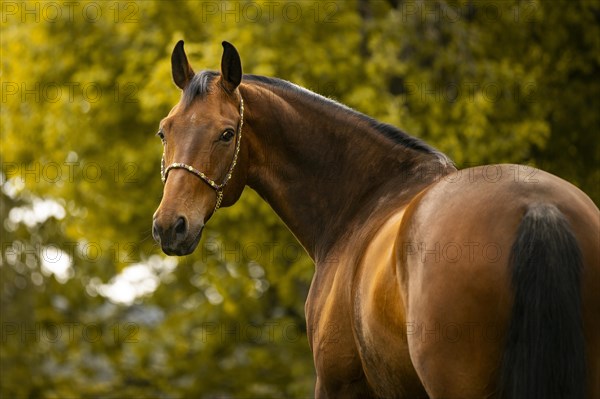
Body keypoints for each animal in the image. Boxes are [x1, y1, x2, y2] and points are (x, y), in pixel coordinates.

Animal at [154, 41, 600, 399]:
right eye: (164, 132)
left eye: (227, 134)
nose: (170, 226)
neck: (364, 200)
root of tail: (537, 206)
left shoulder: (336, 384)